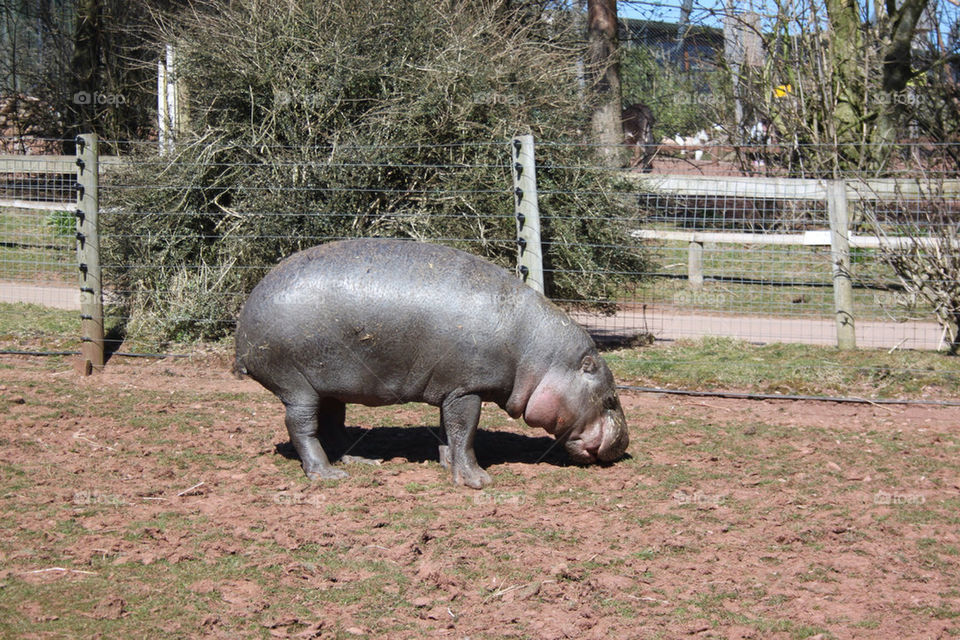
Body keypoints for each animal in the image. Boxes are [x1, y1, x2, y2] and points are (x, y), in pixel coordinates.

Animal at [234, 238, 629, 488]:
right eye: (611, 398)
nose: (624, 444)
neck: (538, 356)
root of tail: (244, 318)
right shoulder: (468, 388)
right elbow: (465, 433)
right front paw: (477, 481)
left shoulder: (451, 388)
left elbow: (450, 430)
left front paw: (446, 463)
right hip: (296, 385)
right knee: (302, 427)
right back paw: (327, 475)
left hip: (329, 387)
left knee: (333, 426)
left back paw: (363, 462)